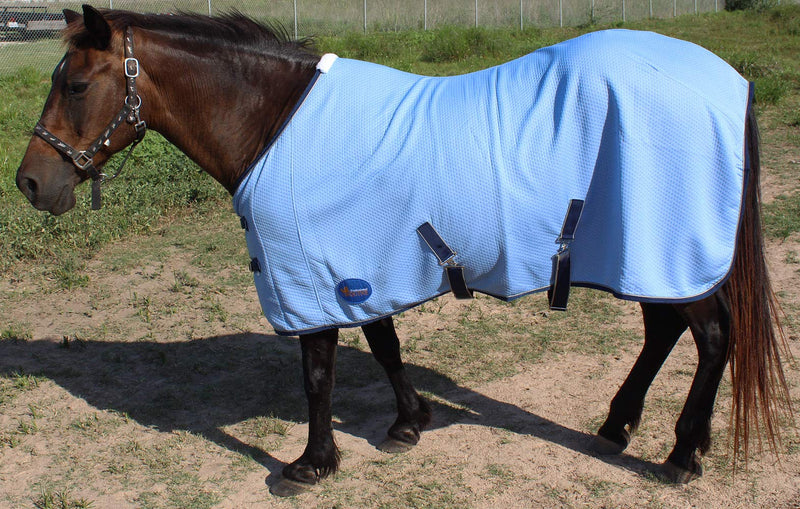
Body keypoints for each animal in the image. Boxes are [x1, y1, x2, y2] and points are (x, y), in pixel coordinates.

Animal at [16, 5, 792, 496]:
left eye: (75, 84)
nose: (30, 182)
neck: (277, 123)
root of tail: (729, 79)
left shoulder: (313, 274)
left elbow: (318, 374)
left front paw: (311, 464)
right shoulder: (357, 268)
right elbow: (385, 345)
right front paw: (408, 423)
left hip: (669, 253)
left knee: (712, 339)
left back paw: (682, 453)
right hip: (644, 255)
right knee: (663, 331)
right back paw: (616, 425)